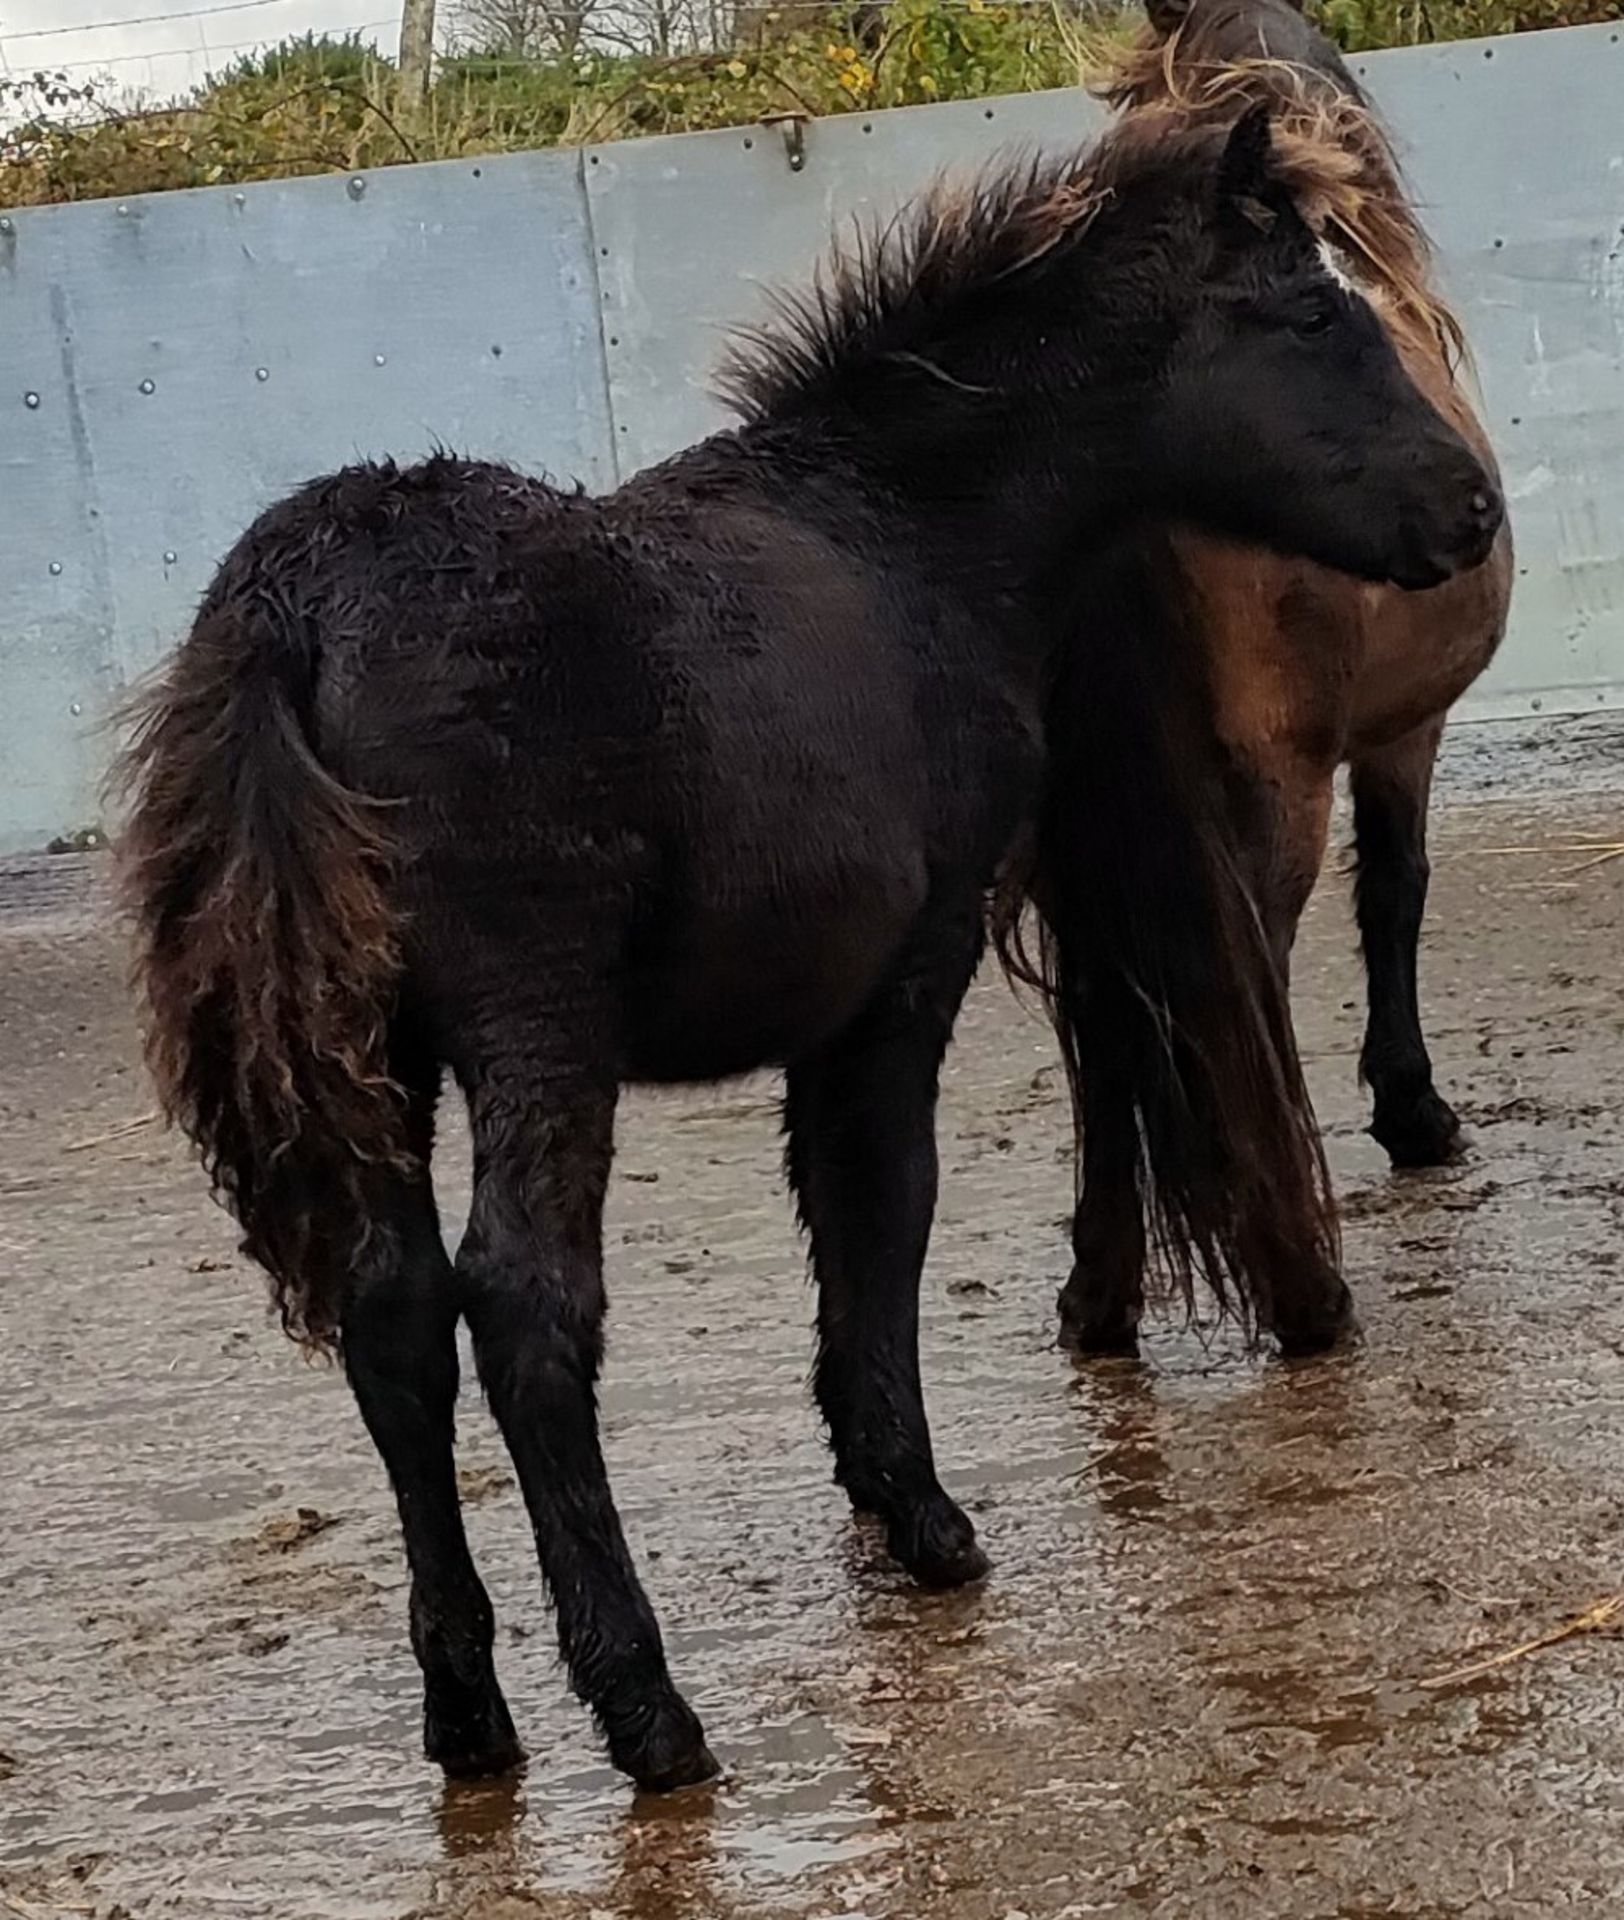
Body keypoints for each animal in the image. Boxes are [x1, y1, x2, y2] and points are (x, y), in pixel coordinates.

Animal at [1059, 0, 1520, 1359]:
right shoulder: (1404, 735)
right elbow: (1396, 893)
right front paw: (1414, 1114)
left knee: (1105, 1016)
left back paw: (1099, 1295)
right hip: (1264, 807)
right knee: (1222, 992)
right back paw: (1297, 1284)